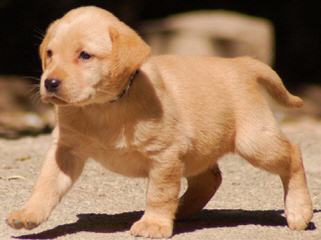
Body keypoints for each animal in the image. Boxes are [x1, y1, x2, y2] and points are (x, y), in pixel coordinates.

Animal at [5, 5, 310, 238]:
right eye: (50, 54)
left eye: (85, 55)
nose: (50, 83)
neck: (103, 108)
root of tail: (240, 63)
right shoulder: (65, 149)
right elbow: (46, 184)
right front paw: (29, 213)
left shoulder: (164, 155)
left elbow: (159, 193)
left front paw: (153, 223)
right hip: (201, 147)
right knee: (210, 178)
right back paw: (182, 209)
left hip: (255, 142)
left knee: (293, 153)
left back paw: (299, 210)